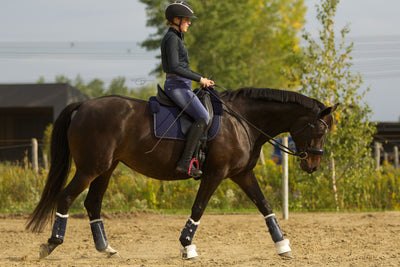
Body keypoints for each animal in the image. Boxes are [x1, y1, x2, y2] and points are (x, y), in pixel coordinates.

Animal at [25, 87, 338, 260]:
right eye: (320, 130)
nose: (312, 166)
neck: (242, 123)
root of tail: (84, 106)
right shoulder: (216, 174)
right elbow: (198, 208)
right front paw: (188, 247)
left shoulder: (242, 174)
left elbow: (265, 206)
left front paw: (283, 246)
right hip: (91, 168)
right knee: (66, 198)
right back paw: (51, 244)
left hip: (106, 168)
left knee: (92, 203)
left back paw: (106, 248)